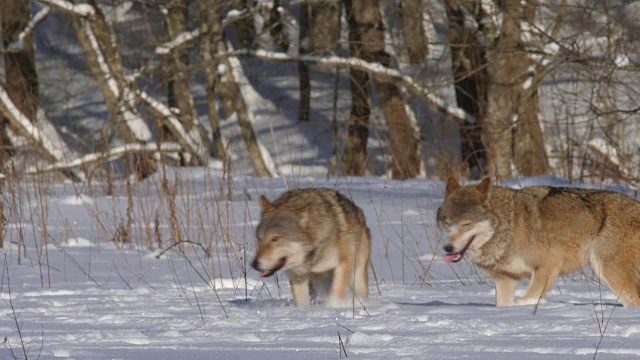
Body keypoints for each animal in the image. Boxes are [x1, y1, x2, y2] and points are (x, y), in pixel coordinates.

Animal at [438, 177, 640, 306]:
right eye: (447, 223)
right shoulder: (506, 279)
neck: (509, 225)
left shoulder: (548, 268)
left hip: (607, 271)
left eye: (466, 224)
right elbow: (503, 305)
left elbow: (528, 298)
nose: (447, 248)